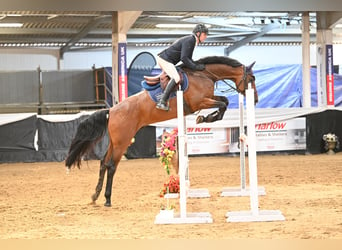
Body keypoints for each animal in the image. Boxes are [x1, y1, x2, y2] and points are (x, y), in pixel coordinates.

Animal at [65, 55, 256, 206]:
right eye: (252, 78)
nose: (255, 100)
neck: (204, 74)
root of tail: (111, 110)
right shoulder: (200, 102)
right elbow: (223, 103)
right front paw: (205, 118)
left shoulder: (207, 99)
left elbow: (224, 100)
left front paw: (206, 118)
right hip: (122, 142)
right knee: (111, 165)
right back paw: (107, 199)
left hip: (114, 141)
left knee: (103, 163)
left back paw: (95, 196)